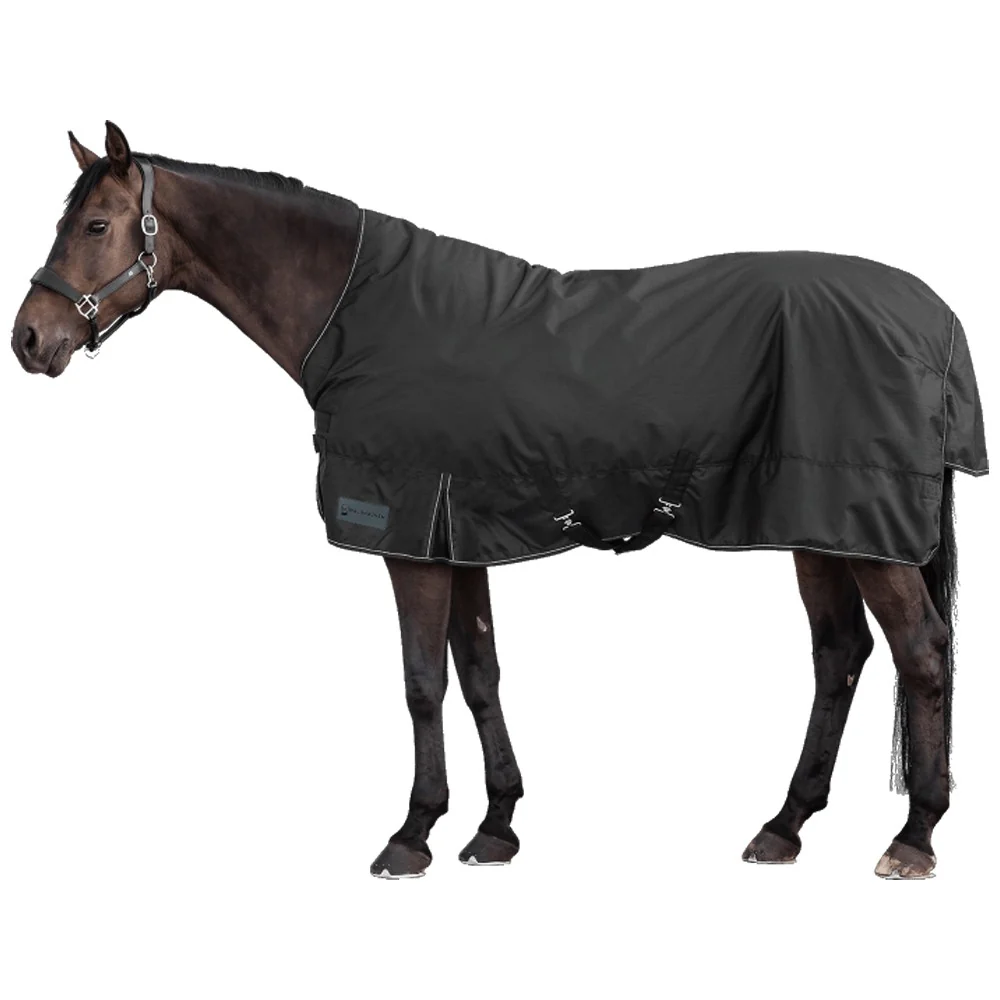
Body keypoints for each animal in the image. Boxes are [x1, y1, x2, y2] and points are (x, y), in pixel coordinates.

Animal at [11, 122, 988, 880]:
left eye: (94, 223)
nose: (29, 339)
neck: (359, 316)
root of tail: (934, 318)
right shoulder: (461, 531)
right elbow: (479, 673)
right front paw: (495, 826)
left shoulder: (409, 535)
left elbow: (422, 684)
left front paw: (411, 834)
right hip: (820, 526)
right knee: (841, 656)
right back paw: (783, 826)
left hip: (862, 534)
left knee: (922, 655)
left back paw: (914, 838)